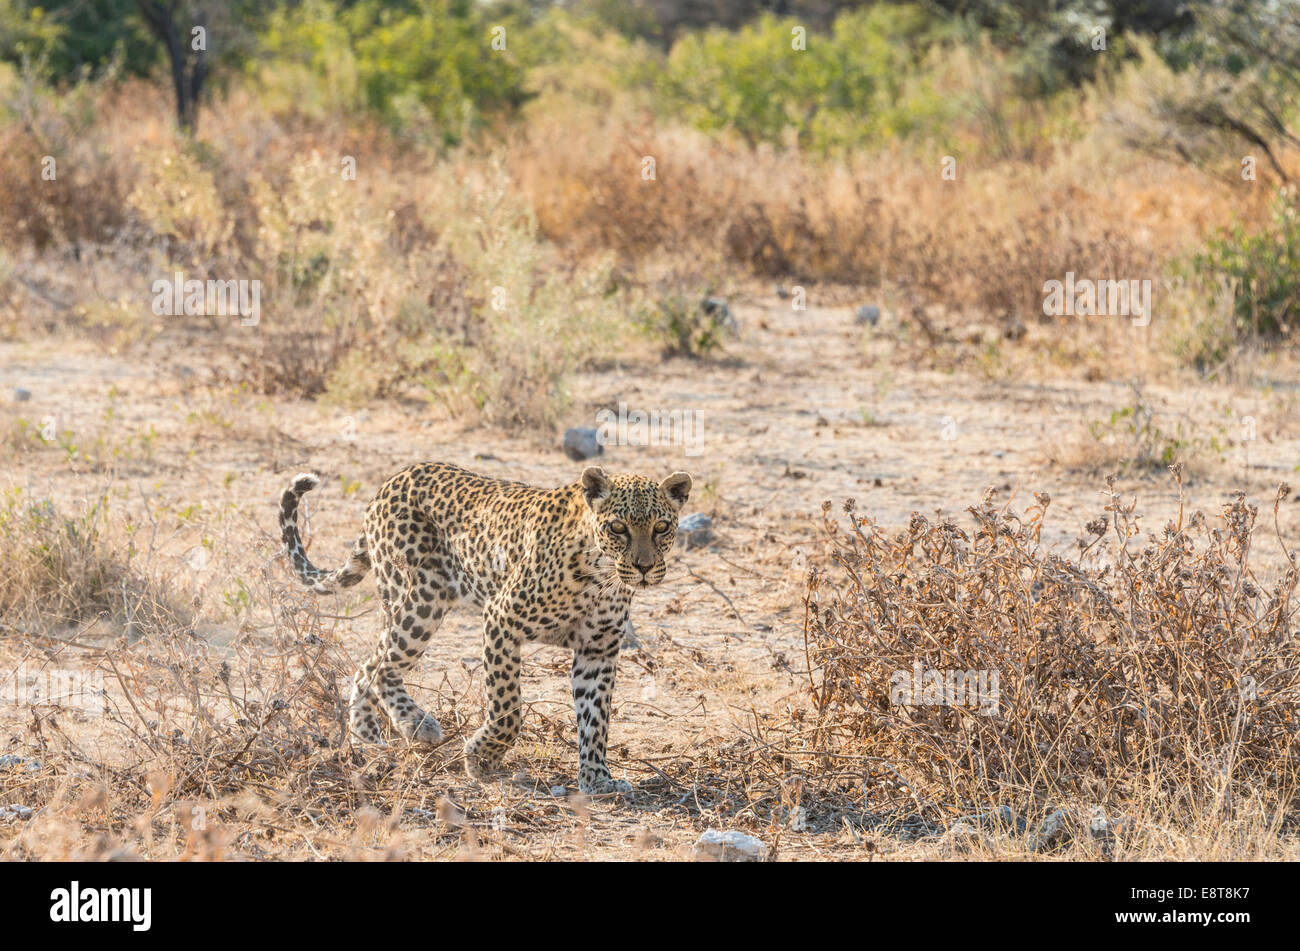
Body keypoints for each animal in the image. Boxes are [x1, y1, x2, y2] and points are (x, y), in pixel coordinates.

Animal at [278, 461, 692, 795]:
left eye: (661, 527)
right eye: (618, 527)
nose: (643, 567)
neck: (601, 578)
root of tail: (389, 482)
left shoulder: (598, 650)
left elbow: (596, 719)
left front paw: (596, 778)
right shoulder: (500, 618)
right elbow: (508, 707)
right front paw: (481, 759)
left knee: (368, 665)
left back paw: (369, 732)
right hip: (419, 599)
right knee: (380, 666)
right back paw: (414, 724)